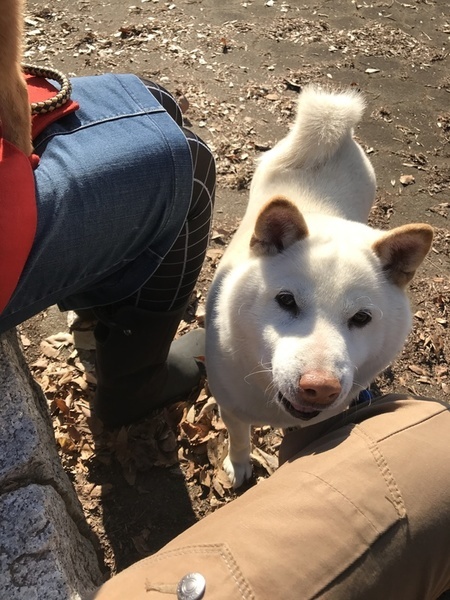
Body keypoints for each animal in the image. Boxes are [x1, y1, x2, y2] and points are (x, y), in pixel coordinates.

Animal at [205, 85, 433, 488]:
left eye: (361, 318)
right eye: (286, 301)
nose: (321, 388)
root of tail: (332, 132)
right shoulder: (230, 407)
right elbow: (239, 438)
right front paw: (239, 464)